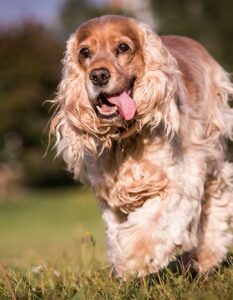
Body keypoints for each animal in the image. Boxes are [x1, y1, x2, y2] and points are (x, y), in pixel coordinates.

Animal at [51, 15, 233, 278]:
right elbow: (116, 231)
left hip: (212, 152)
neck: (125, 140)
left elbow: (152, 225)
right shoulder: (110, 197)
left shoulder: (179, 181)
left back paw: (205, 258)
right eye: (85, 52)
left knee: (216, 198)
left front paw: (133, 261)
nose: (98, 75)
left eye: (123, 47)